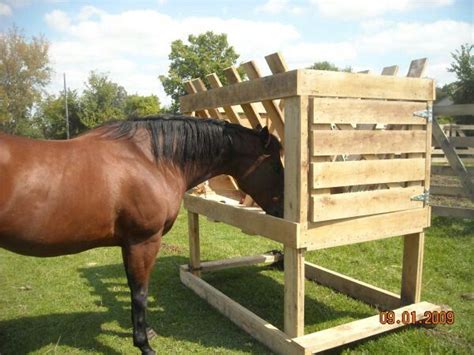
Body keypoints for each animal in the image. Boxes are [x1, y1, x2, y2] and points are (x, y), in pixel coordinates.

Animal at [0, 115, 284, 354]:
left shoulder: (129, 244)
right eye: (275, 166)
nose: (282, 210)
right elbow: (139, 292)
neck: (150, 160)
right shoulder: (143, 242)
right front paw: (144, 344)